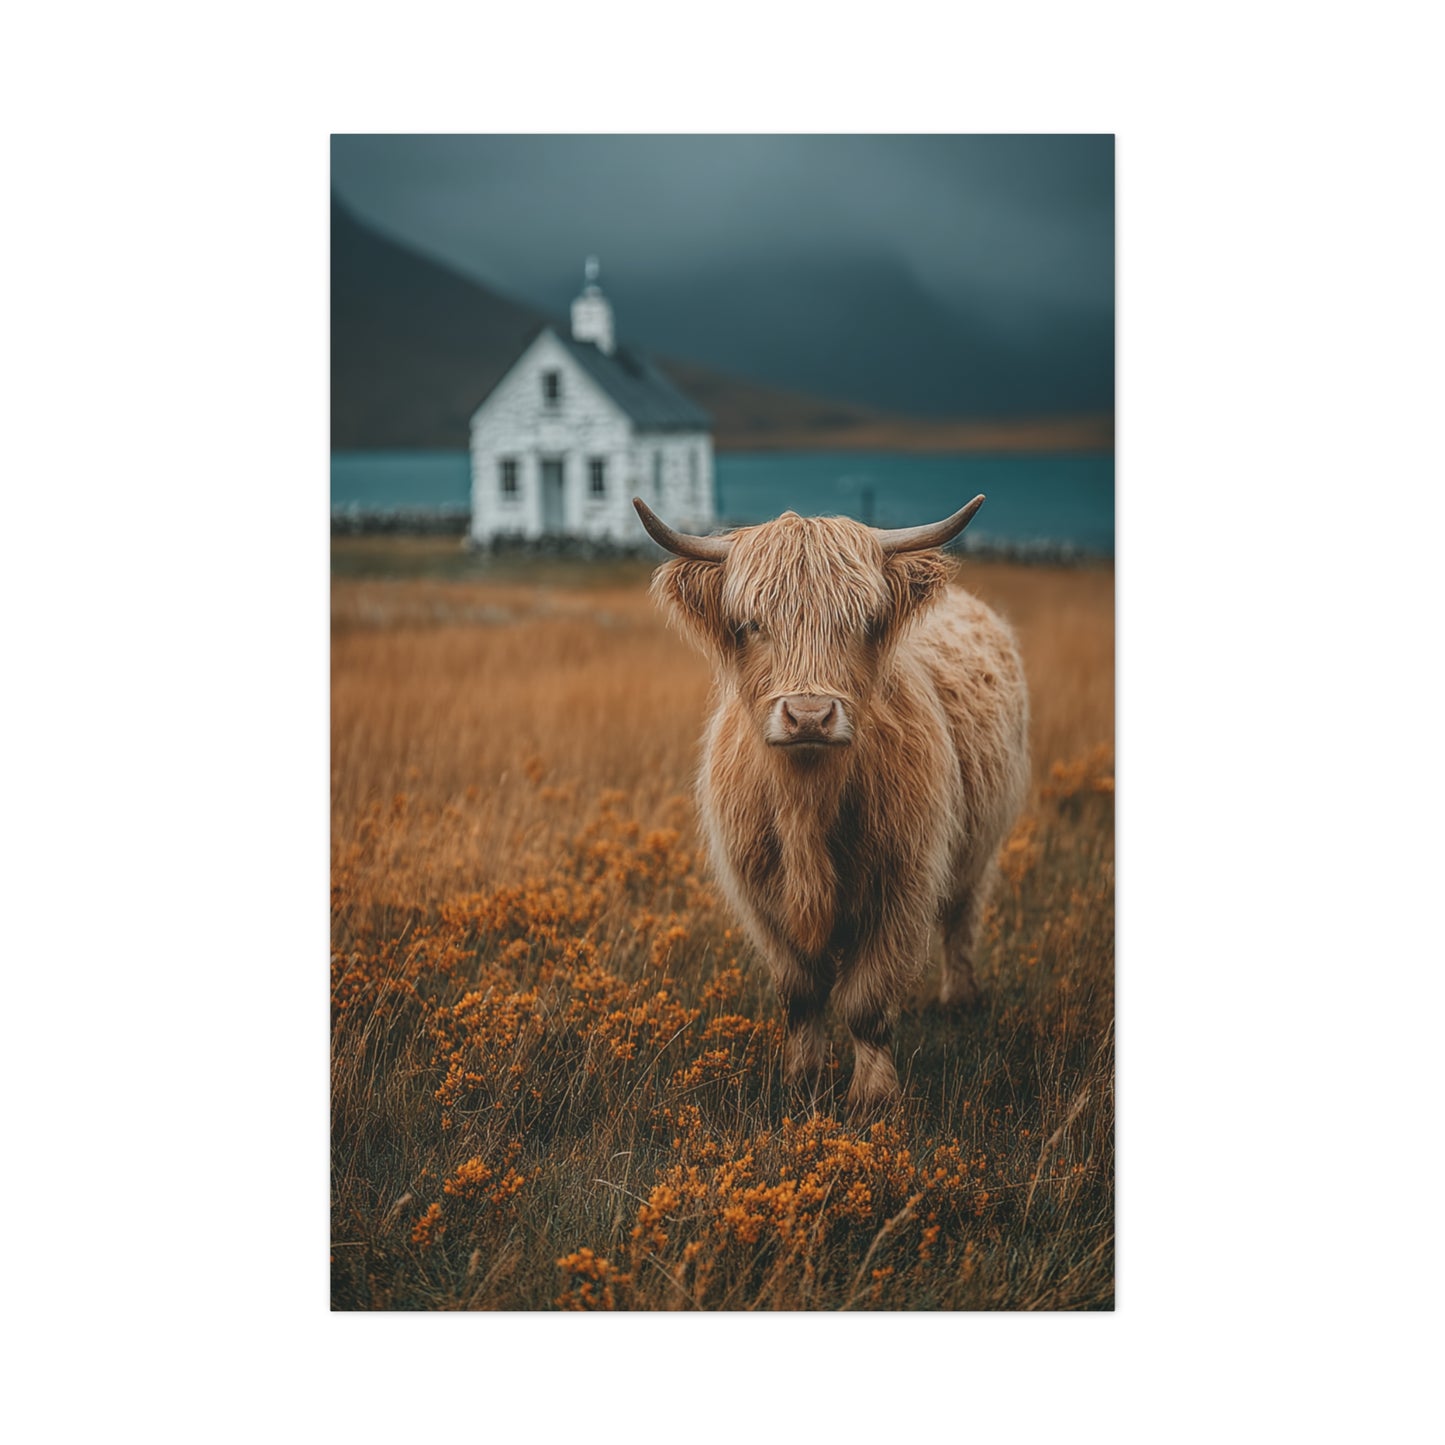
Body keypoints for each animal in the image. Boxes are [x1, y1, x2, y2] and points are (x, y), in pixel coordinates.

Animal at [634, 496, 1030, 1111]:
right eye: (752, 624)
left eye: (862, 623)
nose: (809, 716)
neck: (808, 807)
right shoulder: (760, 896)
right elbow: (801, 992)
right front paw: (802, 1079)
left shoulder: (902, 887)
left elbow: (866, 1003)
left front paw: (872, 1097)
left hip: (978, 849)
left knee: (961, 918)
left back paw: (960, 1000)